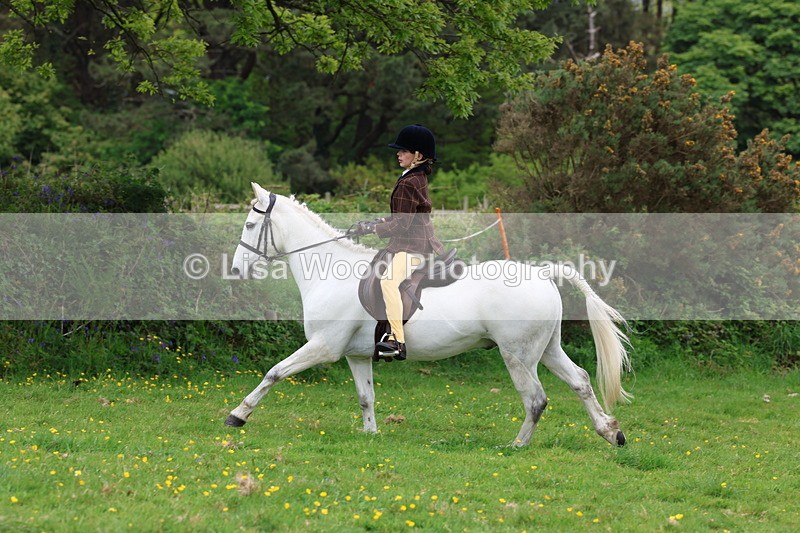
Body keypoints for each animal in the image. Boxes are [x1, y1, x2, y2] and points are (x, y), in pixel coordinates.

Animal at [225, 182, 632, 447]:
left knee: (536, 398)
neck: (327, 271)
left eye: (249, 225)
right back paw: (611, 432)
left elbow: (274, 372)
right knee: (580, 381)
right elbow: (365, 396)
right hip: (546, 349)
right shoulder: (356, 355)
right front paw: (371, 434)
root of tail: (544, 273)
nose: (235, 270)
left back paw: (516, 445)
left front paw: (238, 415)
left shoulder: (324, 346)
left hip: (518, 355)